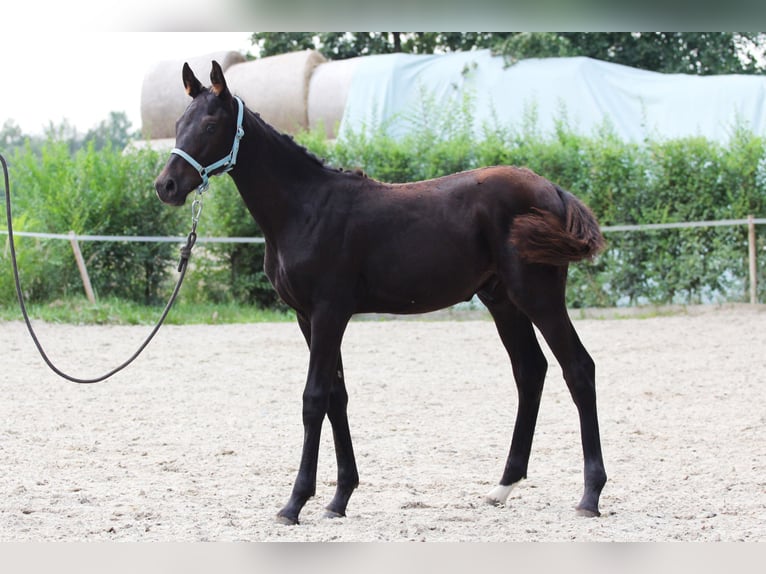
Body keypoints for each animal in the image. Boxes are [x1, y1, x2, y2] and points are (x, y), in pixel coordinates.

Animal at [156, 60, 608, 524]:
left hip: (538, 295)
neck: (305, 207)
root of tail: (553, 190)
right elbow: (336, 397)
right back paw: (503, 486)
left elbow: (313, 399)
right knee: (530, 371)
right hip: (502, 300)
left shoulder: (329, 312)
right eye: (178, 124)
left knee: (578, 368)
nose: (166, 186)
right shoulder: (307, 317)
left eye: (211, 124)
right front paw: (339, 498)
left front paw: (295, 502)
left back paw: (590, 494)